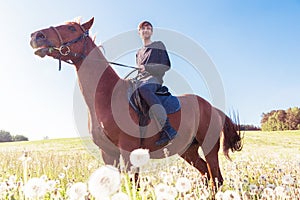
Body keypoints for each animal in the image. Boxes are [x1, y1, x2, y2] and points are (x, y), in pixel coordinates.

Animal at [29, 17, 241, 186]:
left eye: (72, 29)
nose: (35, 36)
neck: (107, 97)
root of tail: (212, 108)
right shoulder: (108, 154)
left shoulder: (128, 151)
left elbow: (134, 186)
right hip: (187, 150)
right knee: (207, 176)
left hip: (209, 147)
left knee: (216, 178)